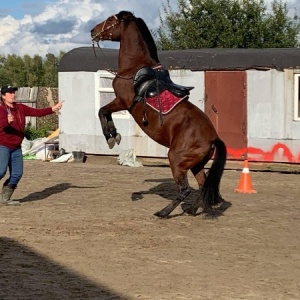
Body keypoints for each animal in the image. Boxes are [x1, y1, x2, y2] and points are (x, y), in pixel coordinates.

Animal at [90, 11, 229, 218]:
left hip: (176, 159)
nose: (93, 30)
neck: (133, 68)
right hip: (195, 164)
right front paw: (113, 136)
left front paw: (112, 136)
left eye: (112, 20)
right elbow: (104, 112)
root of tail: (213, 137)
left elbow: (102, 112)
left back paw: (164, 212)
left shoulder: (122, 102)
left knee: (185, 190)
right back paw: (192, 209)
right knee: (202, 185)